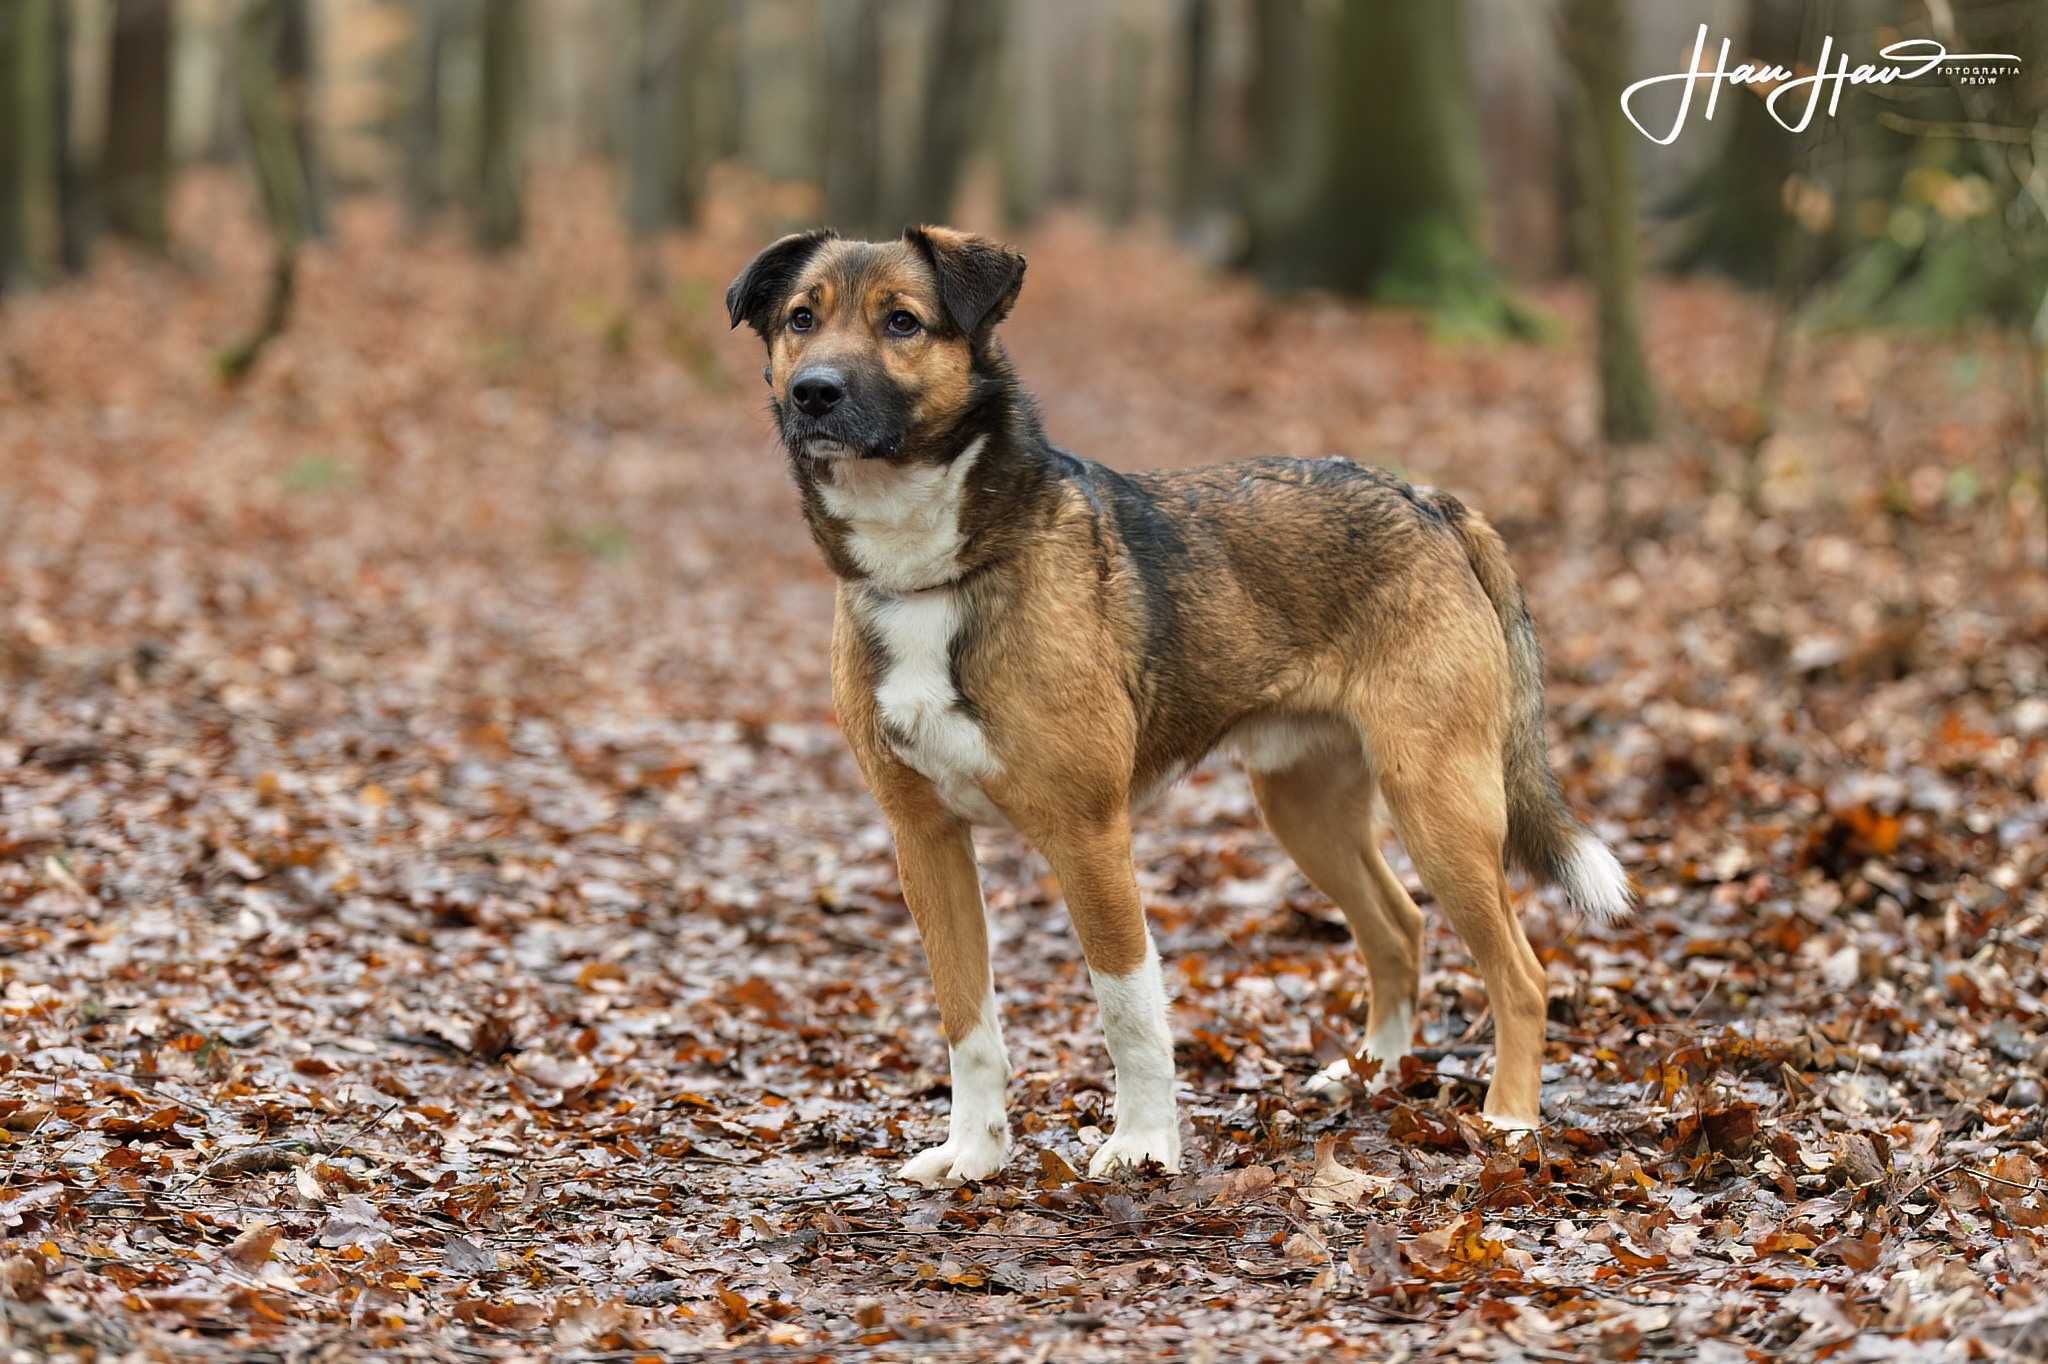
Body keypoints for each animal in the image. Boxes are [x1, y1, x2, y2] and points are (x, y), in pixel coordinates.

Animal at [724, 225, 1630, 1179]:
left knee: (1521, 973)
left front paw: (1144, 1144)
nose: (813, 393)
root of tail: (1424, 498)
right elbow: (967, 1021)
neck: (934, 569)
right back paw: (1367, 1075)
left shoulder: (1089, 837)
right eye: (801, 319)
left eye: (901, 321)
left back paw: (1511, 1122)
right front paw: (973, 1153)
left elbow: (1128, 1011)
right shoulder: (925, 843)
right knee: (1399, 929)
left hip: (1440, 803)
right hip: (1306, 809)